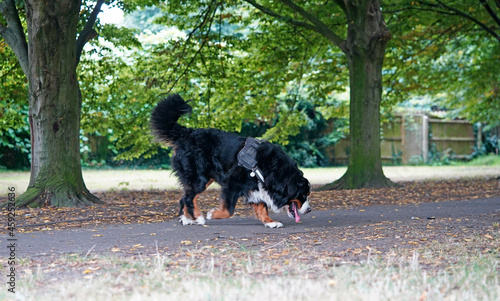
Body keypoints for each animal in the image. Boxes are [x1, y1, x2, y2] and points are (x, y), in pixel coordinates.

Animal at [150, 94, 310, 227]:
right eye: (302, 195)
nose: (309, 210)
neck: (271, 168)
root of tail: (187, 133)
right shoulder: (233, 182)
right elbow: (229, 210)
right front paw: (213, 214)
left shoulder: (257, 186)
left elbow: (262, 207)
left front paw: (270, 222)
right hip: (199, 178)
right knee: (188, 198)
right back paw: (197, 218)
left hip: (205, 178)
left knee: (185, 197)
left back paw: (187, 219)